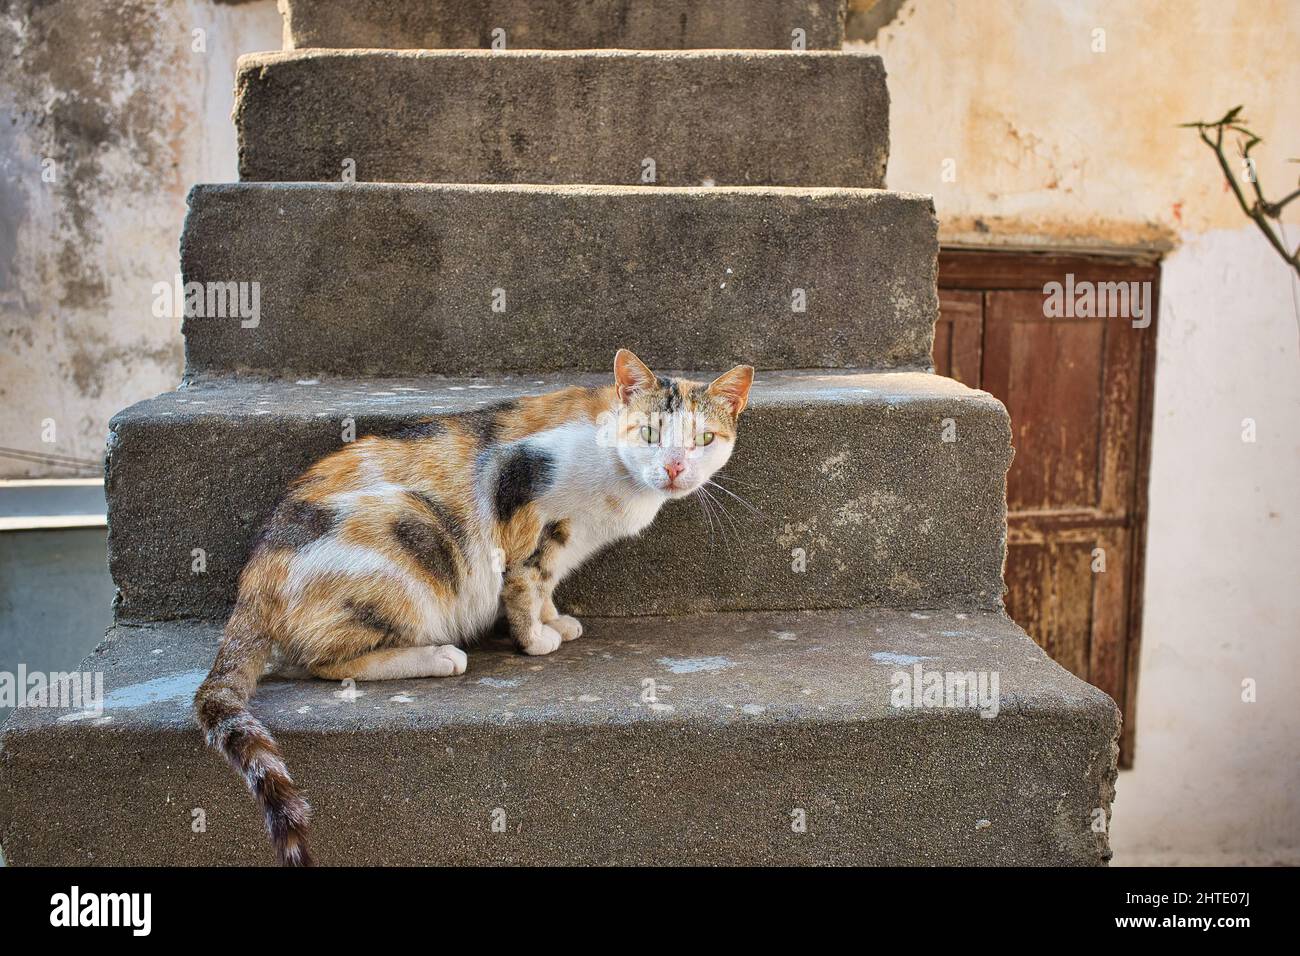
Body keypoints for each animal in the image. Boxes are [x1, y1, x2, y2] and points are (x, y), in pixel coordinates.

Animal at [189, 351, 754, 868]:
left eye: (704, 439)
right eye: (651, 431)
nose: (675, 466)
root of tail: (257, 571)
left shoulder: (566, 539)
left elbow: (548, 584)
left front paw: (556, 620)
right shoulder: (529, 506)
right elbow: (528, 581)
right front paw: (536, 639)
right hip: (414, 532)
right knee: (323, 661)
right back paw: (439, 655)